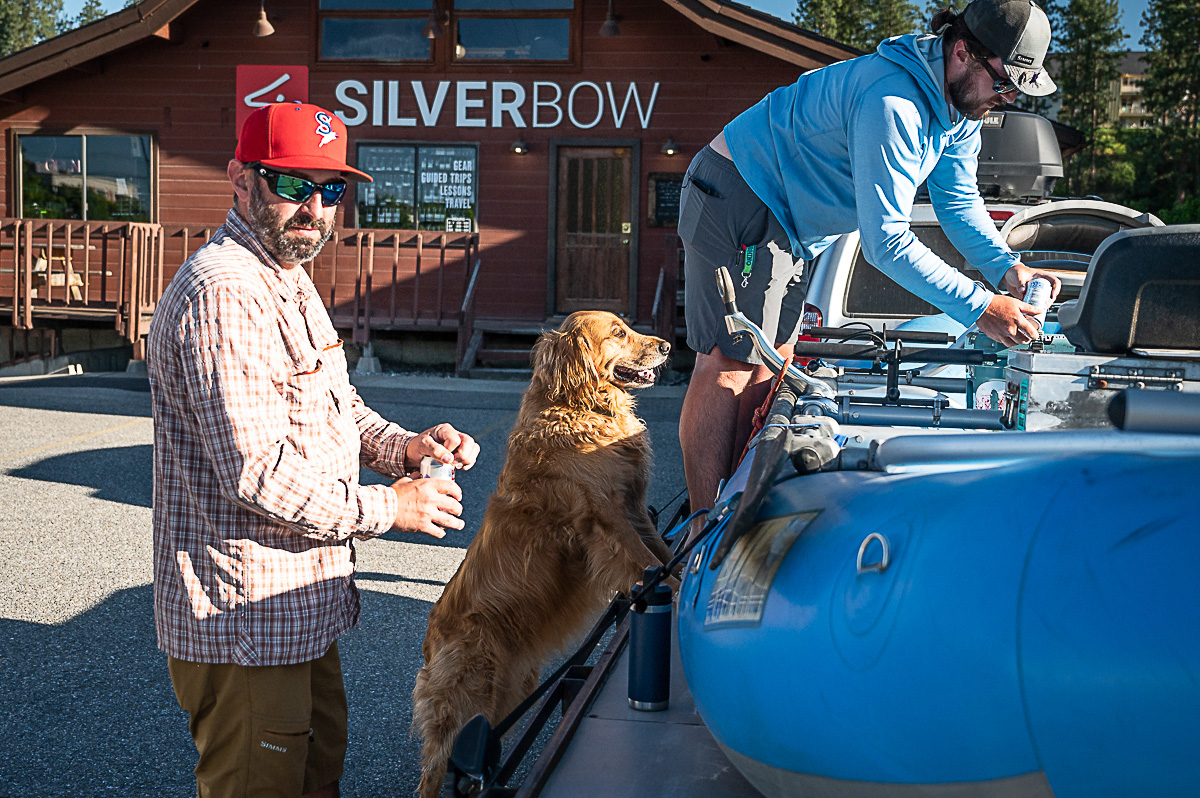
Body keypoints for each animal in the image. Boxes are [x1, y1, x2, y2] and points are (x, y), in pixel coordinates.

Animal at [412, 307, 676, 792]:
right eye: (618, 333)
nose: (668, 346)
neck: (576, 405)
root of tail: (430, 638)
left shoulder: (634, 508)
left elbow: (663, 556)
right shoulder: (607, 519)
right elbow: (648, 562)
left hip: (509, 693)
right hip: (466, 697)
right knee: (435, 771)